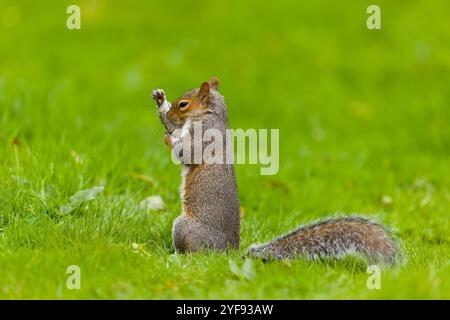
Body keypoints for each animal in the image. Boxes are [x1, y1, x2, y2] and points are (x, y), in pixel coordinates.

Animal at [153, 77, 402, 264]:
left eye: (183, 104)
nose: (173, 112)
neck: (210, 115)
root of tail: (227, 254)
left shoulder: (203, 135)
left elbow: (185, 151)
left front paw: (168, 136)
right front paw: (161, 102)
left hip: (185, 228)